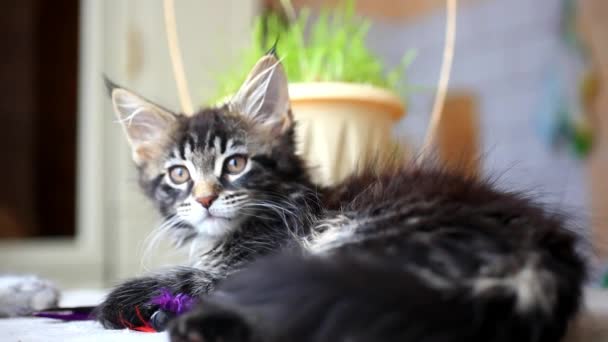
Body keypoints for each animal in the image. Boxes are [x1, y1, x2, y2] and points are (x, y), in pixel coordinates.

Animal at [97, 53, 588, 342]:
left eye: (234, 164)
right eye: (179, 174)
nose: (204, 200)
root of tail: (541, 256)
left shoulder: (268, 257)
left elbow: (195, 277)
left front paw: (117, 301)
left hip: (364, 242)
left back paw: (191, 325)